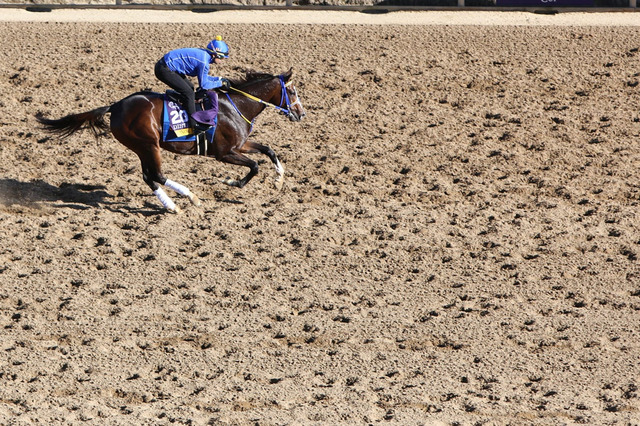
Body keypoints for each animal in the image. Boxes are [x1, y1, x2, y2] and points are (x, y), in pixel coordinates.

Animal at [35, 69, 305, 213]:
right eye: (292, 91)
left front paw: (279, 180)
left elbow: (269, 151)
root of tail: (115, 105)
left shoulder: (240, 145)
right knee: (156, 174)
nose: (301, 114)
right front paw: (231, 182)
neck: (236, 105)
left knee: (148, 176)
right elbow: (255, 166)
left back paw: (171, 204)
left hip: (142, 147)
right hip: (148, 144)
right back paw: (187, 197)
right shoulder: (224, 152)